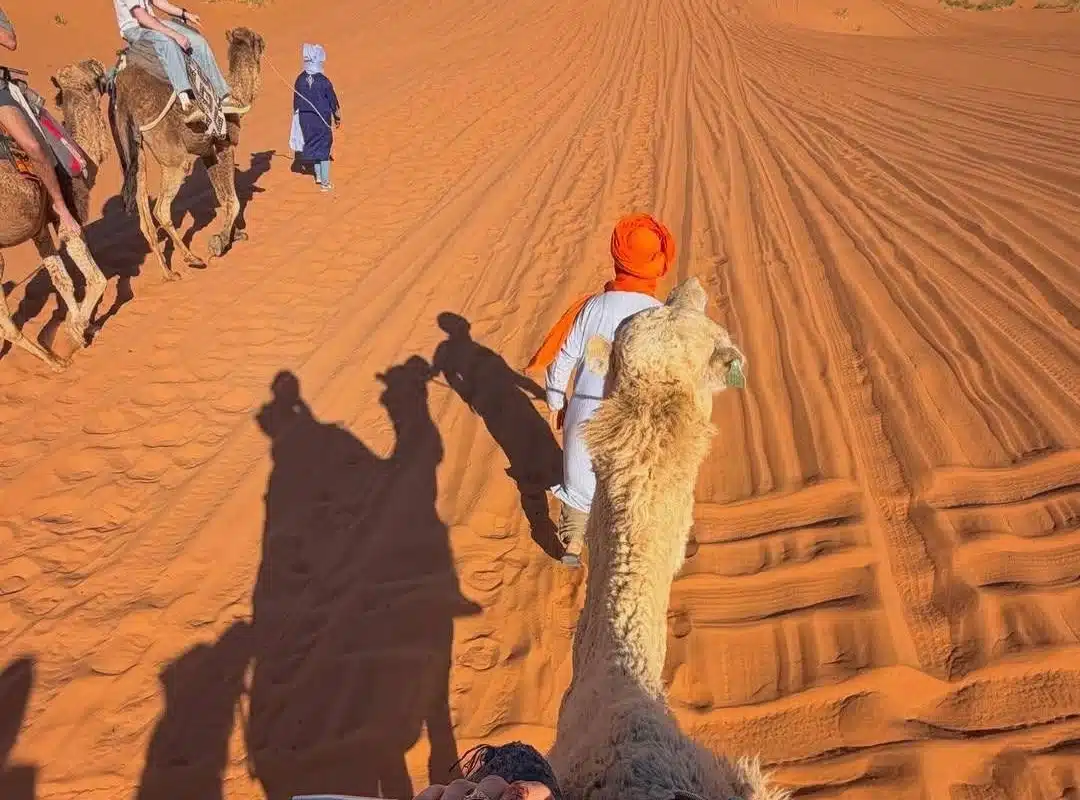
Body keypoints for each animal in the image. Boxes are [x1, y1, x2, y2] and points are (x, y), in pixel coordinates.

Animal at [0, 61, 110, 370]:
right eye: (91, 76)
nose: (100, 64)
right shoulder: (69, 215)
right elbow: (97, 278)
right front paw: (75, 331)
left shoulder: (39, 229)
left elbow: (63, 281)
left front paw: (84, 326)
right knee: (6, 325)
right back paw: (55, 361)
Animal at [106, 27, 265, 280]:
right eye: (255, 38)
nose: (263, 40)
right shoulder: (224, 145)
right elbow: (233, 200)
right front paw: (219, 243)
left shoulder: (207, 152)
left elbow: (223, 196)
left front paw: (233, 236)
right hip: (173, 159)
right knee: (161, 208)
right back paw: (192, 258)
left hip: (132, 152)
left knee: (144, 217)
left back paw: (169, 273)